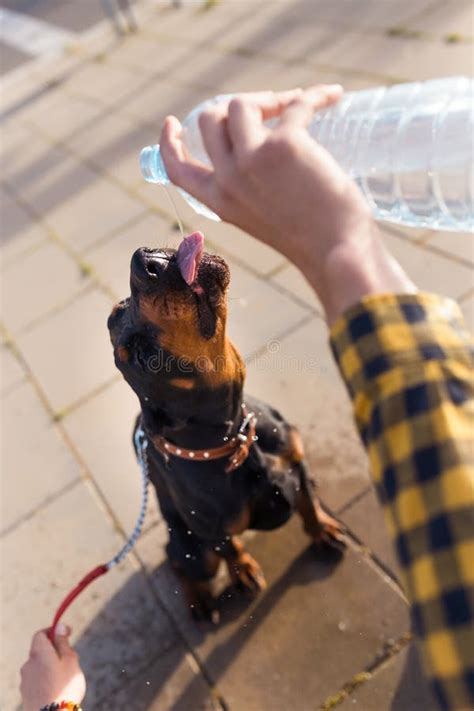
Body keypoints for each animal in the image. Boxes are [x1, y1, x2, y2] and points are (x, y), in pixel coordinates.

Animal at [107, 232, 344, 616]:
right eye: (144, 356)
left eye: (120, 306)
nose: (144, 261)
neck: (236, 435)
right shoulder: (213, 530)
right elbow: (231, 548)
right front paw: (243, 570)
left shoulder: (293, 455)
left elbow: (307, 501)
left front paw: (322, 529)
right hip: (191, 548)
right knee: (178, 562)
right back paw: (200, 603)